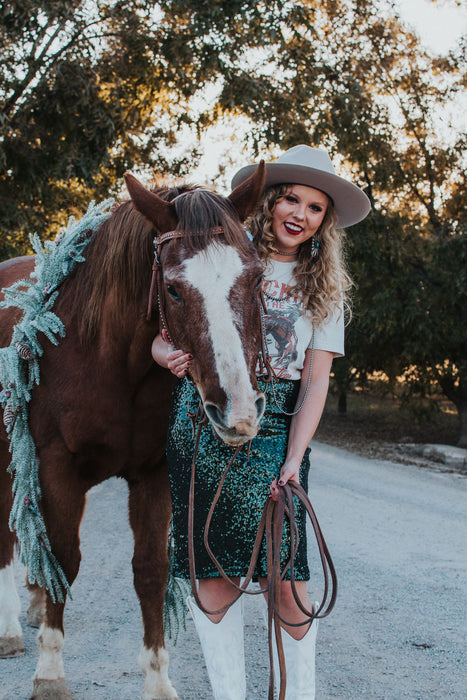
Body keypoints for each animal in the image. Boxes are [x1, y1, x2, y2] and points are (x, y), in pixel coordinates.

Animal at [0, 160, 266, 700]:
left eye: (254, 280)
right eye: (173, 289)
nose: (238, 410)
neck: (110, 358)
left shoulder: (153, 474)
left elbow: (150, 570)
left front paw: (158, 680)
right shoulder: (57, 466)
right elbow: (66, 556)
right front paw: (50, 672)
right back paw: (13, 628)